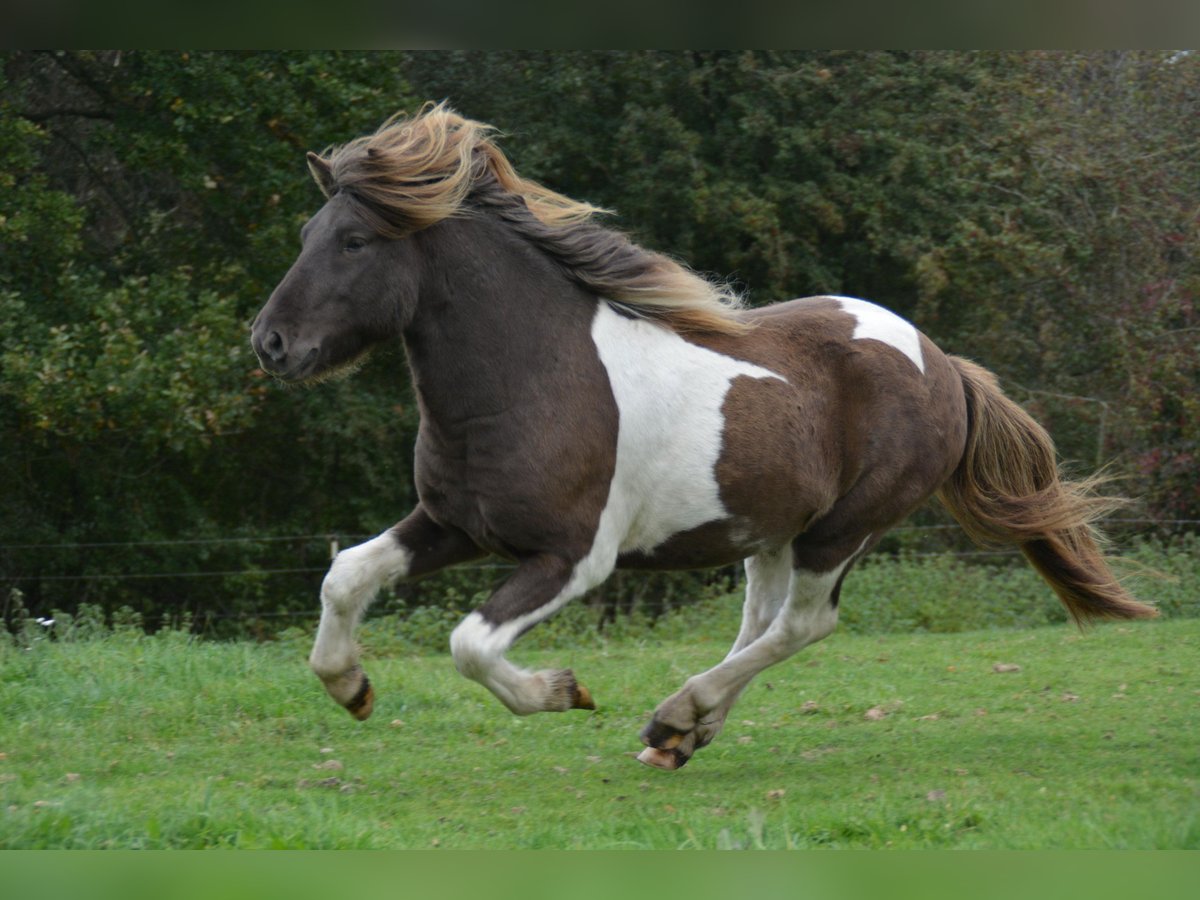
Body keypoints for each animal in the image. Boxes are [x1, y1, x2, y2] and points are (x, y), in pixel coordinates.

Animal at [251, 103, 1156, 770]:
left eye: (354, 241)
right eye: (304, 238)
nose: (271, 344)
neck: (529, 379)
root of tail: (941, 363)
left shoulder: (573, 556)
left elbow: (469, 643)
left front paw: (564, 692)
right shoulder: (451, 524)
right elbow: (345, 573)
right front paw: (351, 688)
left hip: (844, 528)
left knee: (802, 625)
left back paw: (676, 714)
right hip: (770, 529)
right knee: (762, 621)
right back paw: (682, 734)